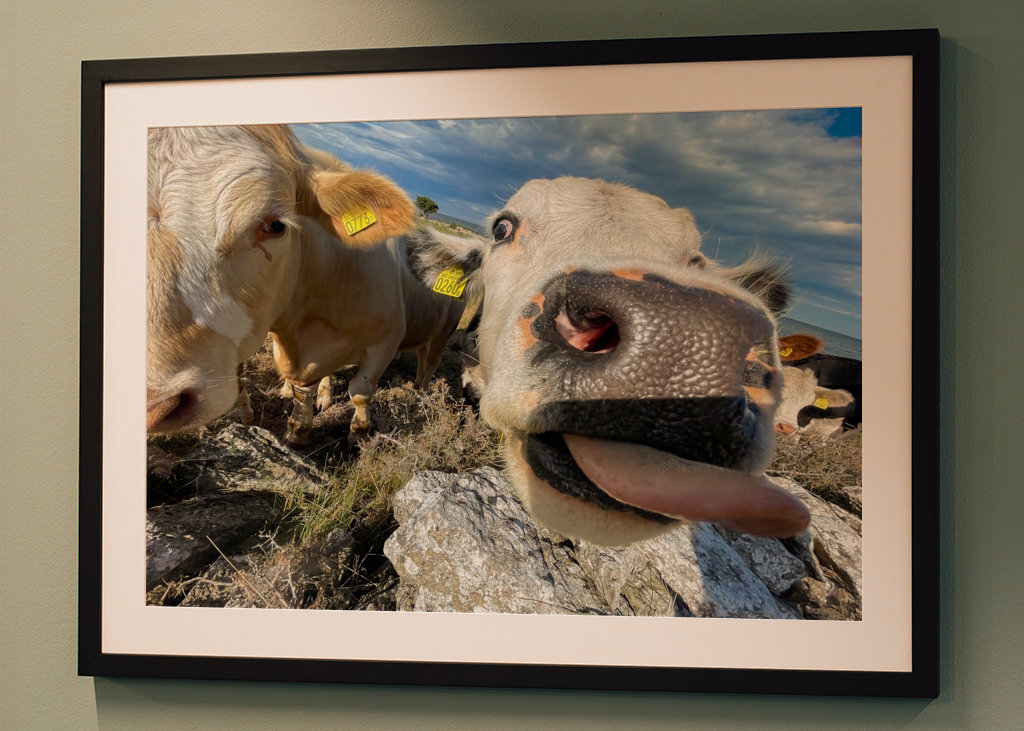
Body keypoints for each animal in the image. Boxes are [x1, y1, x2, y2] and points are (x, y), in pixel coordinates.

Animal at [146, 124, 462, 444]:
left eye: (275, 225)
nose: (157, 406)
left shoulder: (385, 342)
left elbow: (361, 393)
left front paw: (358, 437)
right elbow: (303, 390)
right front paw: (298, 429)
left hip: (443, 331)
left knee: (427, 364)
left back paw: (420, 394)